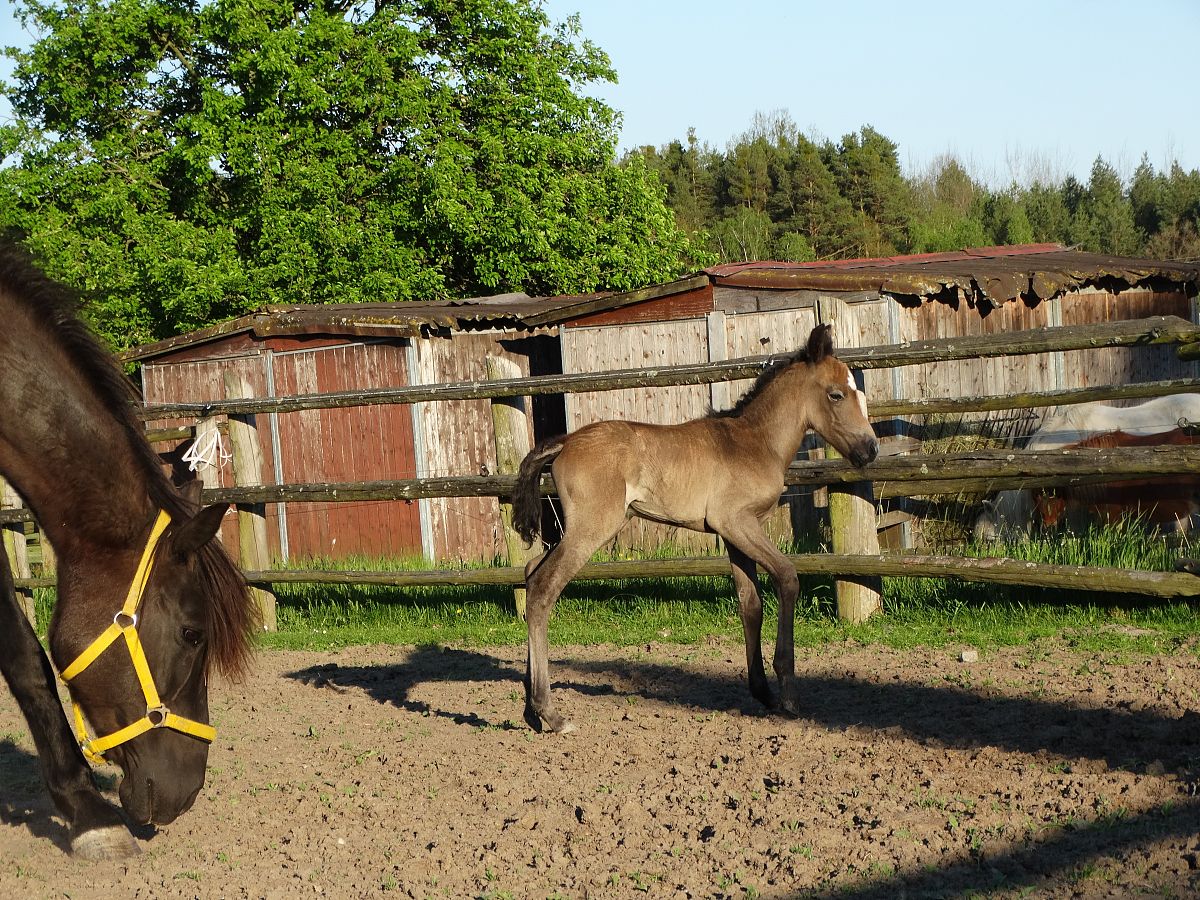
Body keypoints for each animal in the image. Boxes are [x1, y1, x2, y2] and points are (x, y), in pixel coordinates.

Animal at [511, 324, 879, 734]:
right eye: (836, 394)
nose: (870, 449)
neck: (755, 441)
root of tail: (565, 442)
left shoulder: (734, 533)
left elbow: (750, 603)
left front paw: (763, 693)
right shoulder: (737, 522)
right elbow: (787, 577)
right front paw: (787, 695)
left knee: (531, 572)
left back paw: (529, 709)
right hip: (592, 528)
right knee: (543, 588)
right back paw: (550, 712)